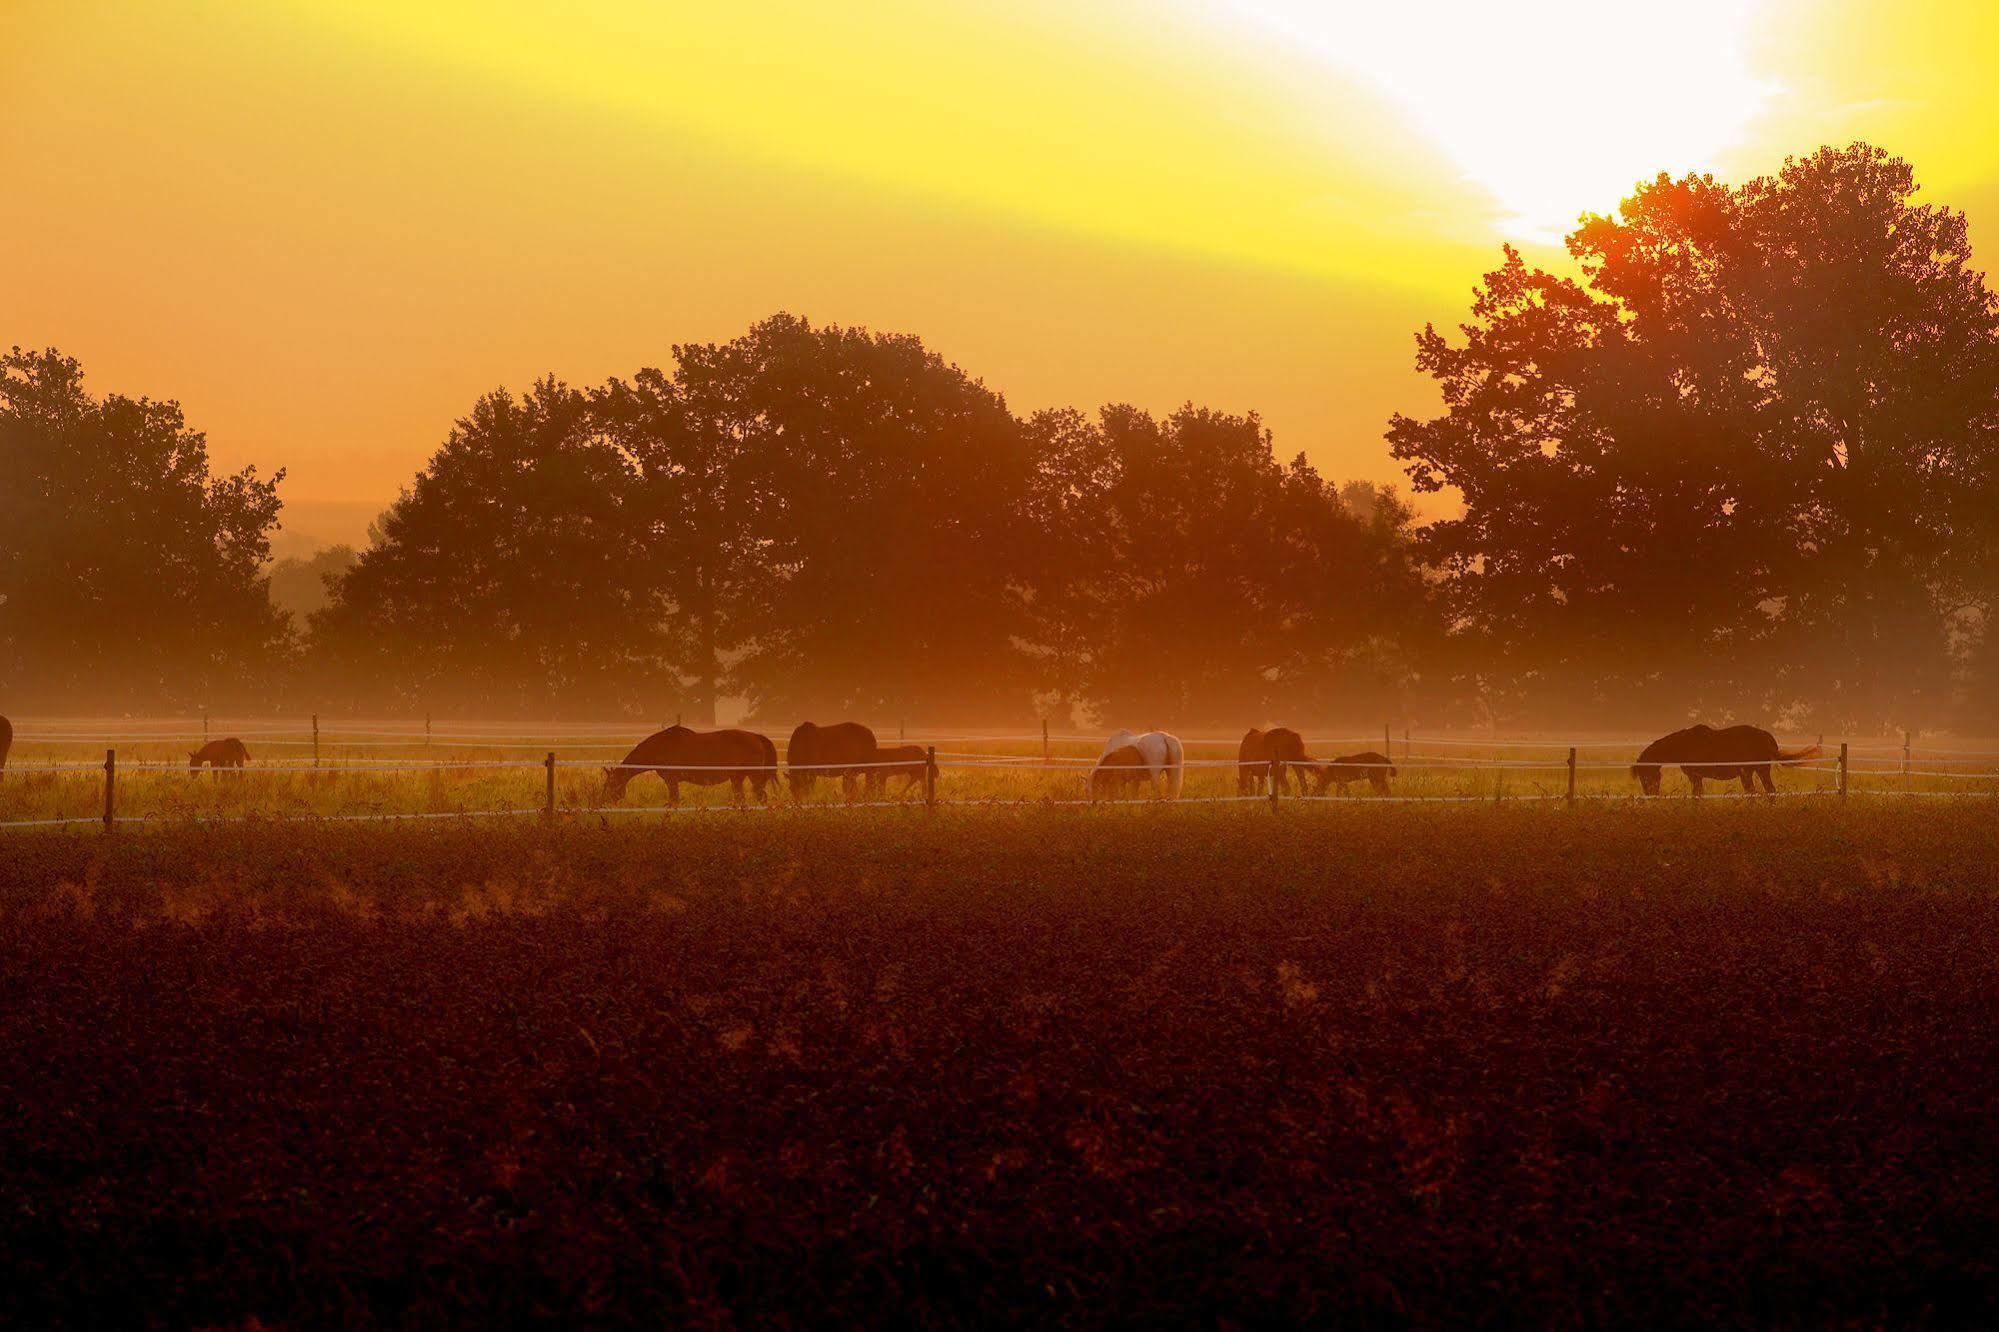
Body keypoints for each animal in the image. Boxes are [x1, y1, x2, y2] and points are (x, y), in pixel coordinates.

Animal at [595, 720, 775, 804]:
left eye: (610, 785)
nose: (604, 801)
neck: (659, 747)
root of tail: (756, 737)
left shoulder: (671, 781)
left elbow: (673, 802)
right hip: (737, 778)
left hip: (754, 777)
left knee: (762, 798)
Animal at [1631, 720, 1823, 792]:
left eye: (1645, 776)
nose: (1650, 795)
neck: (1684, 745)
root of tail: (1766, 736)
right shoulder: (1697, 777)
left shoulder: (1695, 777)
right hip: (1755, 772)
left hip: (1754, 771)